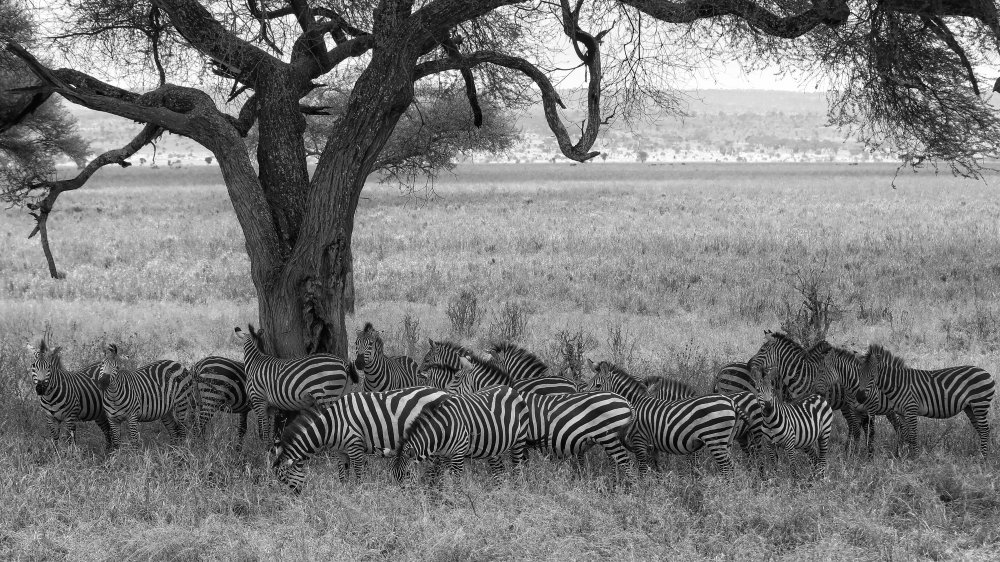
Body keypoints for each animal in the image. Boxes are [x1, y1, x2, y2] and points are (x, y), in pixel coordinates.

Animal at [269, 387, 449, 493]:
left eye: (284, 479)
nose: (294, 499)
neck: (332, 425)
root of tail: (444, 392)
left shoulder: (355, 446)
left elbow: (358, 474)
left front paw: (359, 493)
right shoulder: (340, 452)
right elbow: (343, 475)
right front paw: (345, 495)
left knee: (438, 465)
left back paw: (435, 488)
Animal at [389, 385, 530, 485]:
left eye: (407, 474)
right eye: (393, 476)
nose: (404, 498)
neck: (443, 428)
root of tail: (510, 388)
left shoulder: (458, 453)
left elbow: (455, 481)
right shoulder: (444, 455)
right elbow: (444, 480)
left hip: (519, 440)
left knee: (517, 469)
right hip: (495, 445)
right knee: (499, 471)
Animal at [583, 360, 742, 478]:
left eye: (598, 386)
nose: (586, 399)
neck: (634, 403)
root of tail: (732, 403)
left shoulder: (640, 441)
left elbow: (642, 470)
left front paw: (643, 492)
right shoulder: (652, 446)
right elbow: (656, 469)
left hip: (714, 439)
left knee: (725, 467)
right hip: (725, 442)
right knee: (732, 466)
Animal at [856, 344, 995, 458]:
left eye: (872, 376)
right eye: (859, 375)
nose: (859, 397)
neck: (898, 384)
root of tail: (986, 372)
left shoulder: (911, 410)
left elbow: (913, 435)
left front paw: (915, 458)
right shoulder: (901, 413)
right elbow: (906, 434)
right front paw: (907, 457)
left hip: (980, 404)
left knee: (984, 429)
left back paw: (983, 457)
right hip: (970, 408)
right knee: (981, 429)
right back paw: (983, 453)